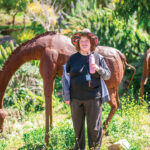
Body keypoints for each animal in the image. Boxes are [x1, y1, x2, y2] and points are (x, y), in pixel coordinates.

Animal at [0, 31, 136, 145]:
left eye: (2, 116)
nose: (2, 133)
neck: (39, 47)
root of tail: (121, 55)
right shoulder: (53, 76)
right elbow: (50, 100)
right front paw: (53, 134)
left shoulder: (47, 74)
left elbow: (47, 100)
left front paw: (47, 141)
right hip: (114, 88)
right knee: (117, 104)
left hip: (109, 88)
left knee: (114, 105)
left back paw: (101, 134)